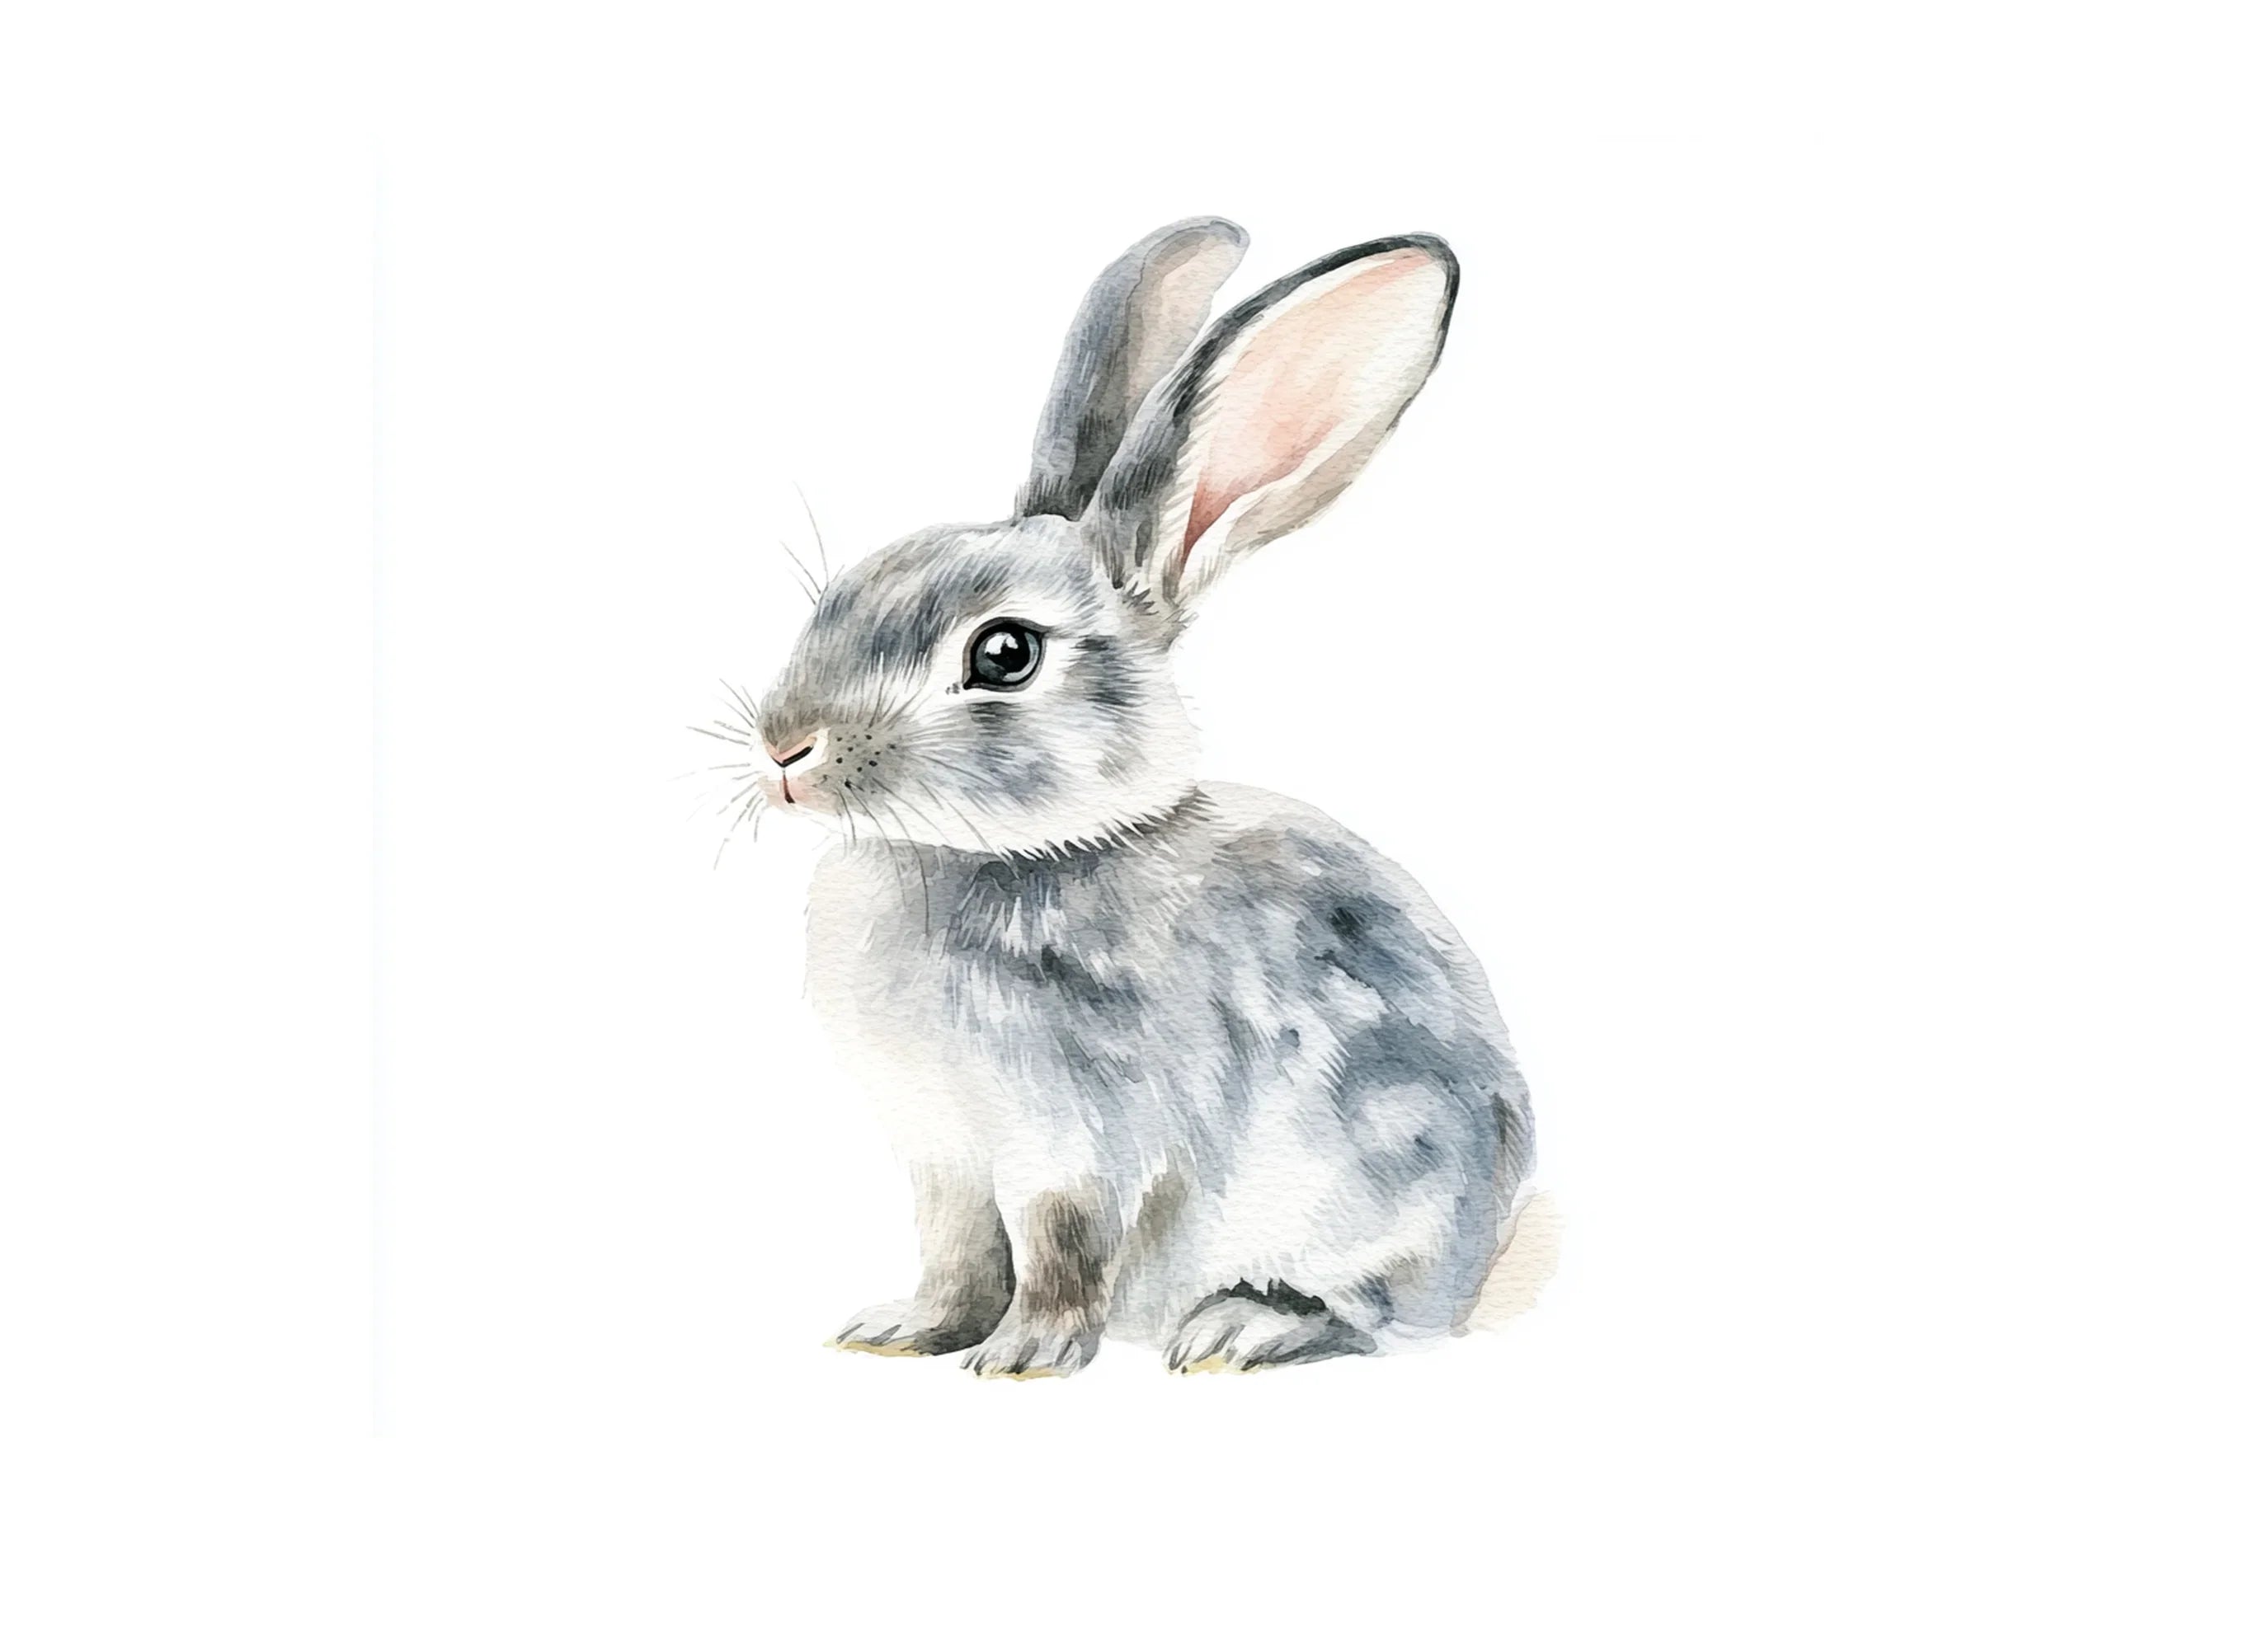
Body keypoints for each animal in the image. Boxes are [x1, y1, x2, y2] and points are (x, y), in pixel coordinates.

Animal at [741, 218, 1536, 1377]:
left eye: (1004, 653)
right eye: (844, 591)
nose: (783, 748)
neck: (1001, 855)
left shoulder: (1073, 1143)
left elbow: (1059, 1250)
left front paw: (1022, 1357)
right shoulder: (946, 1156)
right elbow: (954, 1256)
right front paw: (902, 1330)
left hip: (1372, 1194)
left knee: (1371, 1311)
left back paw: (1244, 1324)